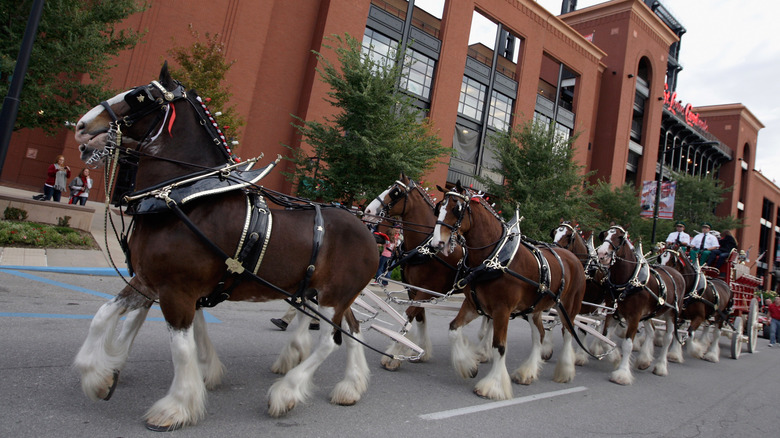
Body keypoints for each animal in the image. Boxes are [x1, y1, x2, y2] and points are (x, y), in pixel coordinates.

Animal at [72, 63, 378, 430]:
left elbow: (181, 348)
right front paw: (98, 376)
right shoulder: (149, 280)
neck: (181, 198)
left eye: (140, 95)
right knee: (352, 329)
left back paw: (287, 392)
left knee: (330, 341)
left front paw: (176, 406)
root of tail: (368, 230)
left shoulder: (176, 290)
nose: (81, 125)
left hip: (332, 297)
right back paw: (351, 386)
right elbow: (104, 315)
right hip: (327, 295)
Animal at [362, 174, 490, 370]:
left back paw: (483, 351)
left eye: (395, 191)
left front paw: (394, 354)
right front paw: (420, 350)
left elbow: (408, 316)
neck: (426, 248)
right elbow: (419, 317)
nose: (368, 210)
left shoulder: (426, 290)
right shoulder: (413, 290)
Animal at [430, 181, 588, 400]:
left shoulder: (502, 310)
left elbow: (499, 346)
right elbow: (454, 329)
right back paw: (527, 372)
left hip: (569, 308)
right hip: (534, 309)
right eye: (439, 208)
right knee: (539, 334)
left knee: (567, 333)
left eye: (456, 209)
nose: (436, 243)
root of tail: (574, 258)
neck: (494, 257)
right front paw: (468, 367)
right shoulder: (473, 304)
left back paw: (565, 371)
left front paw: (492, 386)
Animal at [596, 226, 684, 384]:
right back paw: (644, 360)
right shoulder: (613, 312)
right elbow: (605, 339)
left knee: (668, 338)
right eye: (604, 235)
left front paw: (622, 374)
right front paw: (616, 358)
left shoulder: (634, 316)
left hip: (672, 313)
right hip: (649, 313)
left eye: (620, 238)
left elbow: (627, 345)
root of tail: (677, 274)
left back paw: (661, 367)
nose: (601, 254)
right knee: (651, 331)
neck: (628, 281)